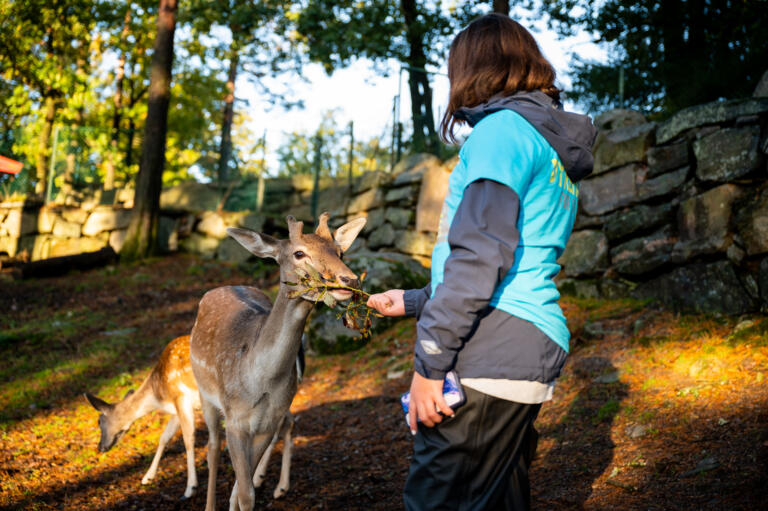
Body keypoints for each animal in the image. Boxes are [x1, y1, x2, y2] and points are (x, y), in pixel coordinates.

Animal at [85, 334, 308, 502]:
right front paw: (147, 477)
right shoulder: (178, 408)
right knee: (287, 423)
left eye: (99, 422)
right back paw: (272, 483)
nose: (100, 447)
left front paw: (190, 488)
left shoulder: (180, 398)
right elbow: (164, 437)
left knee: (281, 427)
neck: (159, 393)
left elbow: (187, 438)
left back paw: (271, 483)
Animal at [188, 214, 364, 511]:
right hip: (204, 393)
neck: (263, 382)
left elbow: (241, 489)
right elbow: (245, 493)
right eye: (299, 253)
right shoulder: (235, 420)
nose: (348, 279)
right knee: (212, 448)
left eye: (340, 252)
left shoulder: (268, 423)